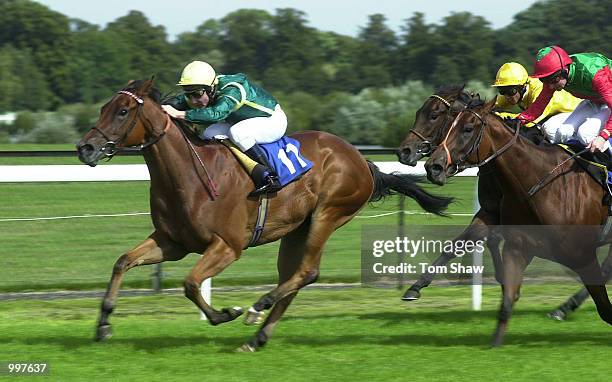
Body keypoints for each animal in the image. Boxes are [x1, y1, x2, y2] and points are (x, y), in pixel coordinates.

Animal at [75, 79, 454, 354]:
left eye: (123, 111)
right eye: (104, 107)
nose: (85, 148)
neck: (190, 174)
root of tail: (362, 161)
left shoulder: (227, 246)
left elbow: (191, 283)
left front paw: (224, 314)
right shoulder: (172, 243)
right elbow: (123, 262)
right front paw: (103, 325)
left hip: (327, 215)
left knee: (307, 272)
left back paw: (258, 307)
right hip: (297, 229)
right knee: (293, 279)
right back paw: (257, 337)